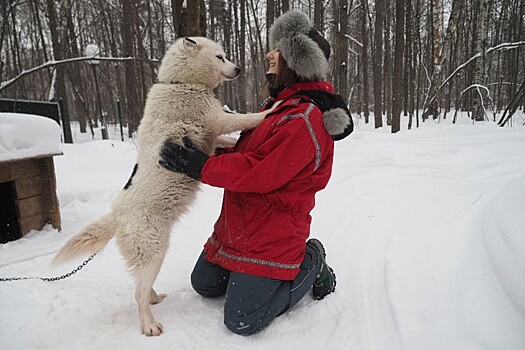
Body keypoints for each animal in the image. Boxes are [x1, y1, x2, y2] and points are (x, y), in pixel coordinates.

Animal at [52, 37, 274, 334]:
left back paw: (154, 298)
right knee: (137, 292)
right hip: (155, 251)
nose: (238, 69)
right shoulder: (217, 119)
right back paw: (149, 325)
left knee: (141, 287)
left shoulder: (213, 136)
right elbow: (246, 118)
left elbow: (228, 142)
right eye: (220, 56)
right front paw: (272, 109)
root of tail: (117, 215)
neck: (179, 83)